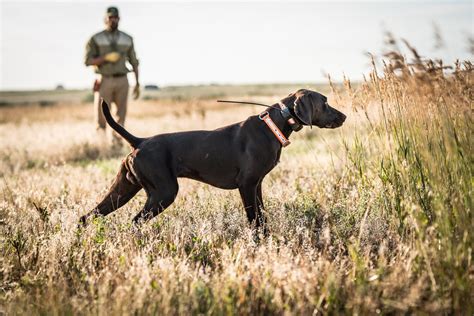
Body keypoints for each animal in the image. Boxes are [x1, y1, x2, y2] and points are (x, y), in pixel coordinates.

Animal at [79, 89, 346, 232]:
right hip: (163, 192)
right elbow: (254, 219)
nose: (344, 116)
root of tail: (140, 141)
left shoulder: (257, 185)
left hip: (123, 189)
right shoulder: (246, 185)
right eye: (325, 102)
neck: (273, 125)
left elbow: (262, 218)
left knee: (88, 216)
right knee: (134, 221)